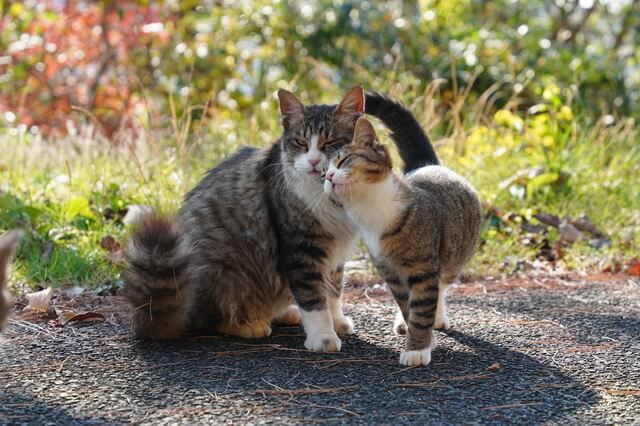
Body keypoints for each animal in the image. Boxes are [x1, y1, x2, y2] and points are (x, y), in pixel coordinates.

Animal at [324, 117, 480, 366]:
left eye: (343, 160)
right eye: (325, 170)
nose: (328, 177)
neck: (374, 210)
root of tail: (430, 164)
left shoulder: (423, 268)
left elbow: (422, 309)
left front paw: (418, 350)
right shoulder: (390, 272)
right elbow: (408, 307)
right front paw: (423, 338)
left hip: (454, 258)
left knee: (442, 286)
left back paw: (438, 316)